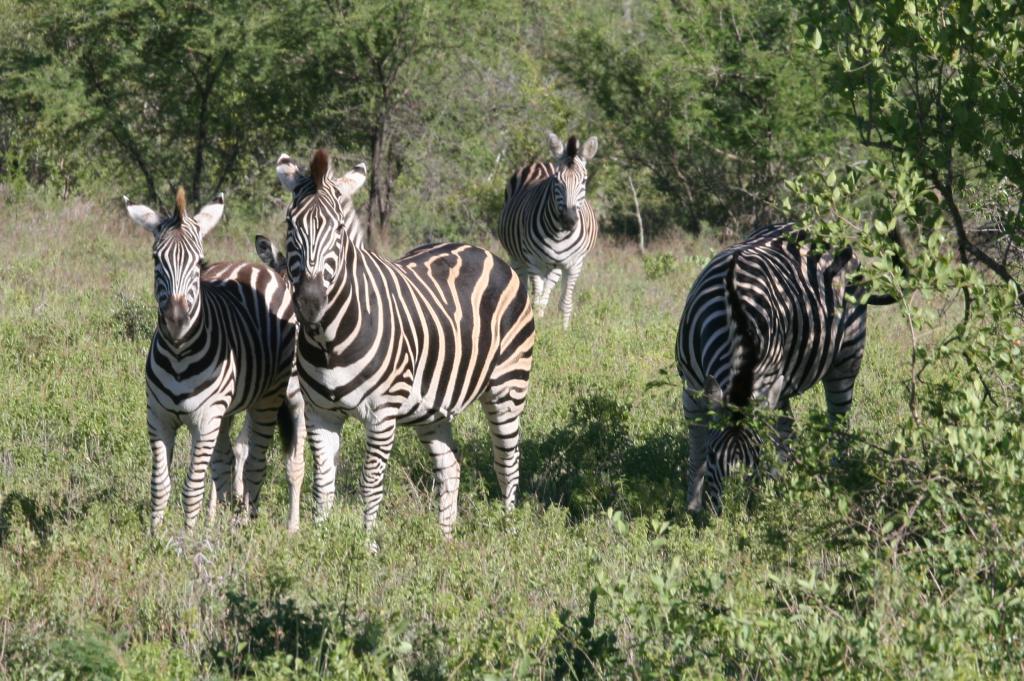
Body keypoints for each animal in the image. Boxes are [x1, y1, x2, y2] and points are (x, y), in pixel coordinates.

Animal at [125, 186, 305, 532]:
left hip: (272, 399)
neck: (179, 356)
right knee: (227, 462)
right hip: (230, 409)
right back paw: (224, 519)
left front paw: (187, 537)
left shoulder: (205, 420)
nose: (177, 320)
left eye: (197, 263)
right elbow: (160, 485)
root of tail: (254, 267)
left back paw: (277, 525)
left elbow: (191, 486)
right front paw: (156, 535)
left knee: (270, 463)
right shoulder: (158, 418)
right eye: (156, 259)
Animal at [276, 150, 540, 540]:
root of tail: (483, 251)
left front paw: (366, 545)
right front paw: (320, 541)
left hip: (508, 387)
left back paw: (508, 531)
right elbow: (322, 485)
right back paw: (445, 540)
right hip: (432, 408)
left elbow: (371, 482)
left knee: (507, 463)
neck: (328, 341)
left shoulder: (382, 413)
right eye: (290, 225)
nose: (309, 303)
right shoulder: (320, 412)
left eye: (338, 229)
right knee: (451, 467)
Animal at [495, 130, 598, 329]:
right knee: (527, 288)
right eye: (557, 180)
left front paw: (565, 331)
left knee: (547, 290)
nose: (568, 220)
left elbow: (565, 302)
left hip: (554, 265)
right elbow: (534, 300)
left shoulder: (574, 264)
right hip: (518, 257)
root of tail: (541, 164)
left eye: (584, 181)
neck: (559, 234)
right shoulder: (533, 261)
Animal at [675, 223, 892, 516]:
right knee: (786, 426)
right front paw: (693, 506)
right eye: (712, 455)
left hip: (847, 355)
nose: (732, 517)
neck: (735, 316)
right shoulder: (692, 386)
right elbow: (696, 440)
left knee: (839, 418)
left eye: (756, 456)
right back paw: (781, 480)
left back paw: (838, 478)